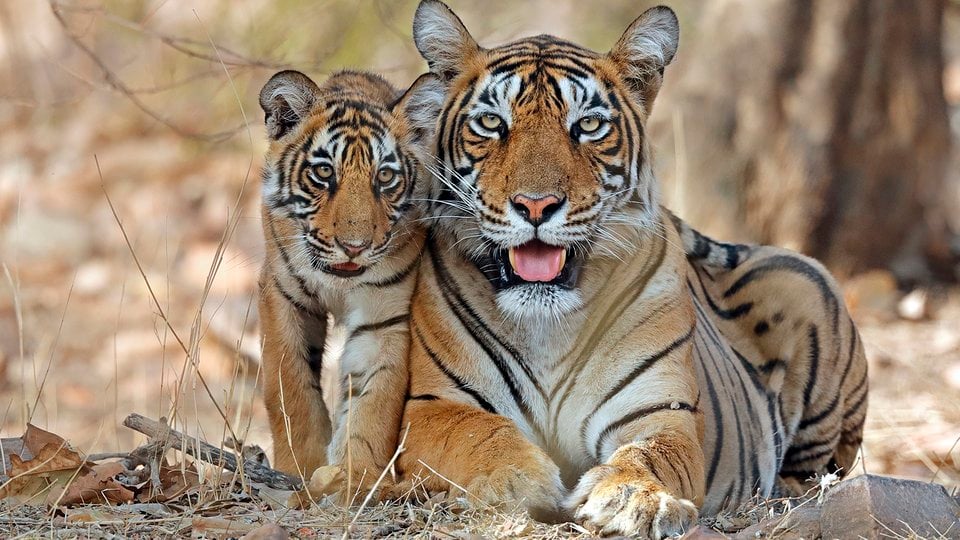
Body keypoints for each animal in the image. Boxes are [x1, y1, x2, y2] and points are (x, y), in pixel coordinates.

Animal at [257, 69, 442, 489]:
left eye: (385, 176)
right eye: (324, 172)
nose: (354, 247)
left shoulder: (383, 318)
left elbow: (373, 405)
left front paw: (355, 479)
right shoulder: (284, 300)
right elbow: (290, 390)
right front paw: (301, 467)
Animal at [393, 1, 868, 537]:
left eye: (588, 126)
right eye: (492, 122)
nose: (536, 205)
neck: (546, 324)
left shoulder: (661, 412)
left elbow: (649, 454)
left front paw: (630, 498)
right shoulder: (433, 407)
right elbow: (477, 434)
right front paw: (517, 480)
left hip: (803, 278)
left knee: (821, 470)